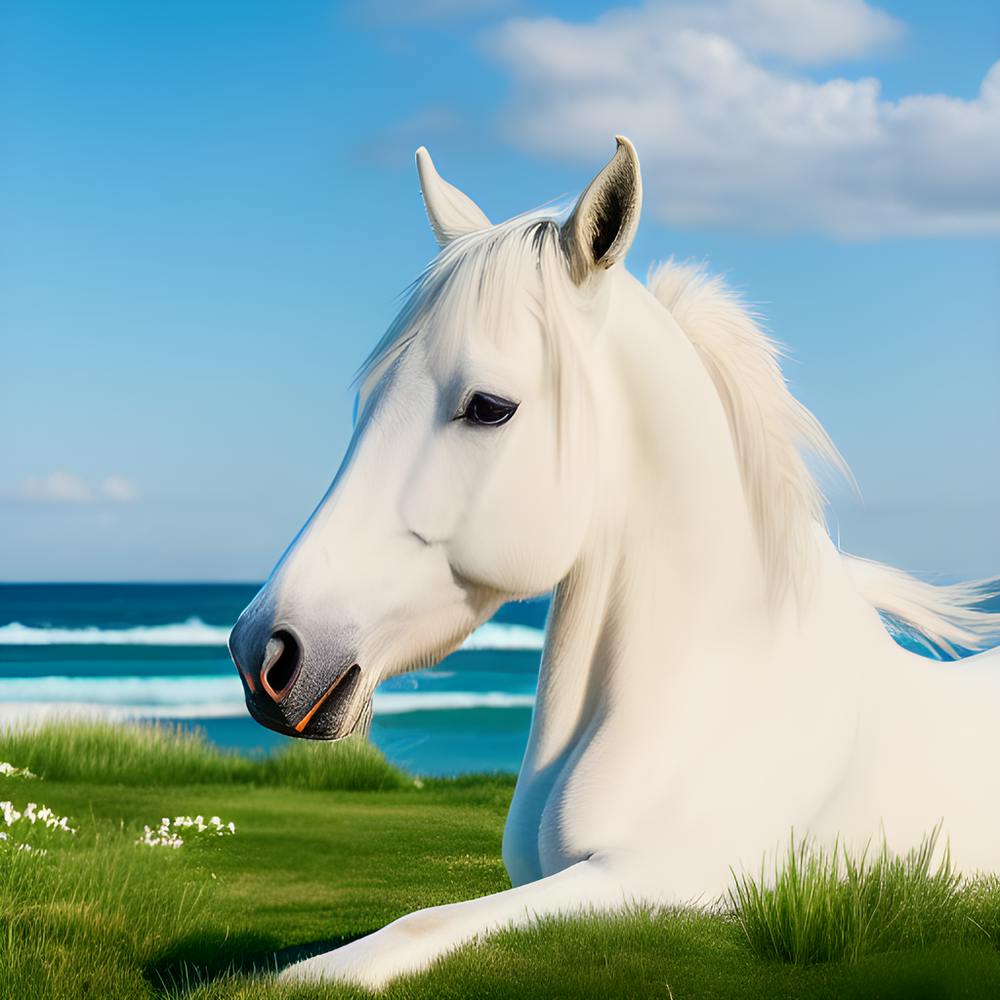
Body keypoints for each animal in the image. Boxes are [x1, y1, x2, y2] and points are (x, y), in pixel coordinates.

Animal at [228, 136, 1000, 989]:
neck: (721, 693)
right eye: (366, 403)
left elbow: (378, 946)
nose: (265, 652)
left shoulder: (657, 882)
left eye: (488, 408)